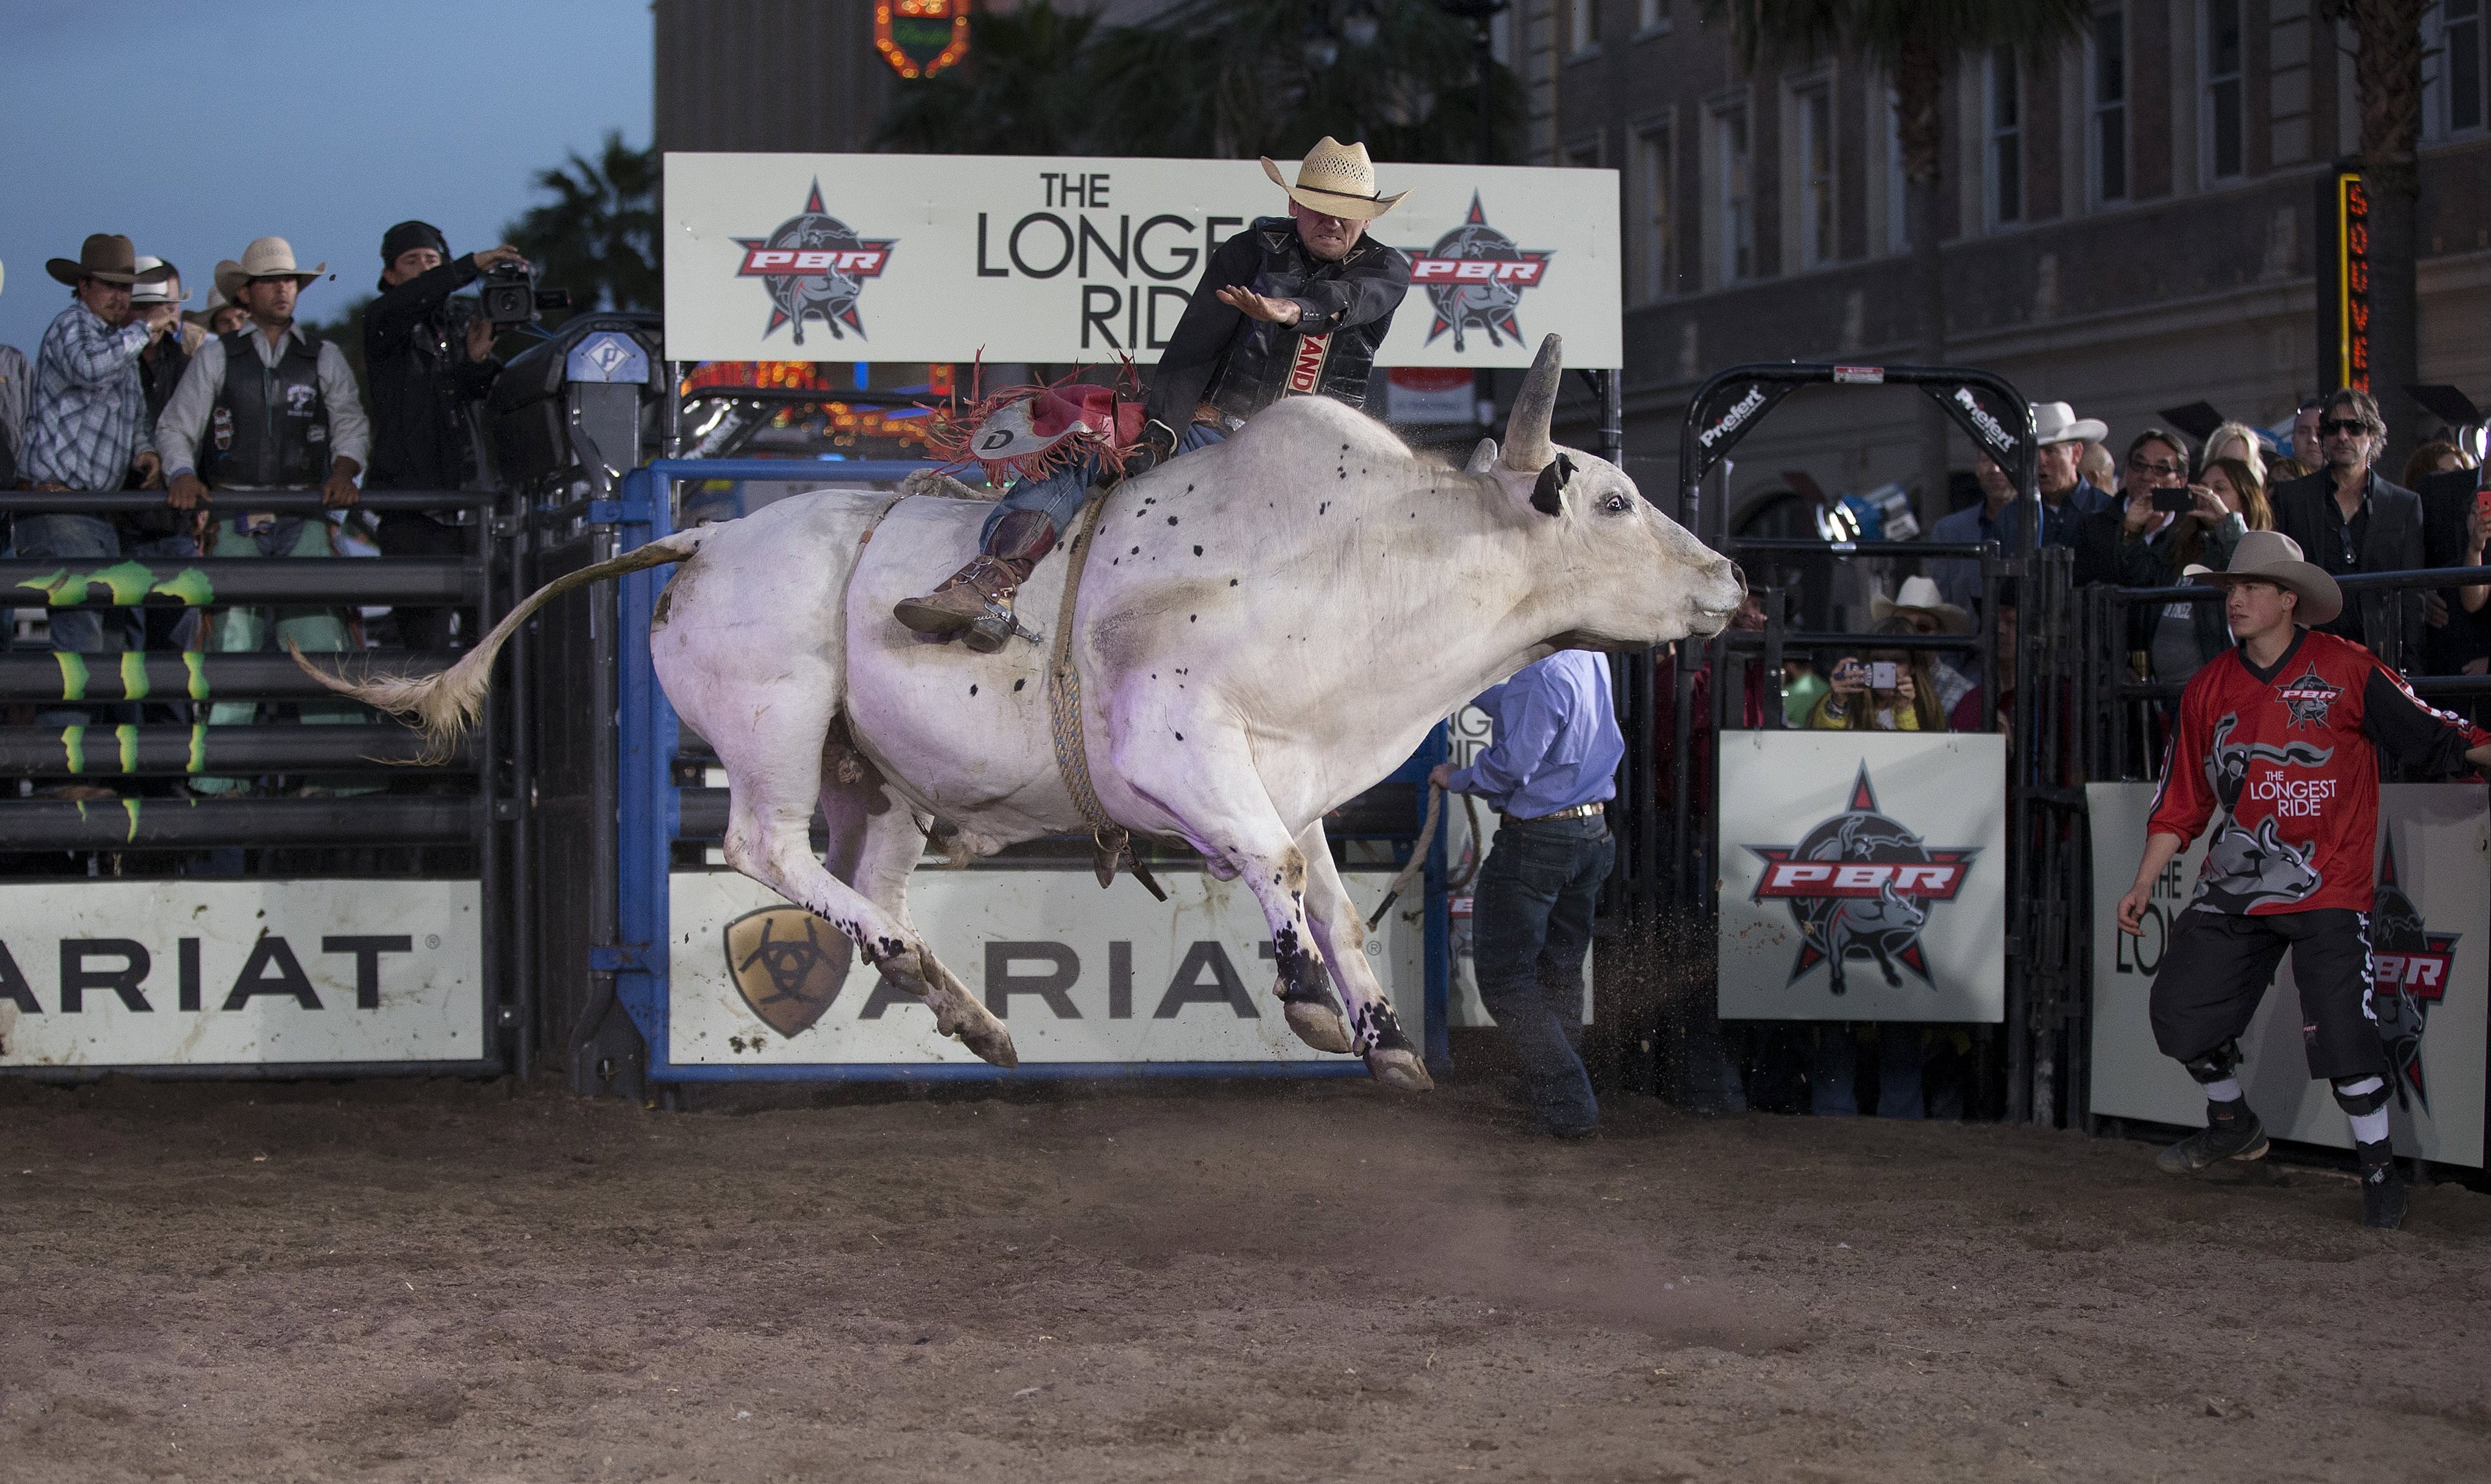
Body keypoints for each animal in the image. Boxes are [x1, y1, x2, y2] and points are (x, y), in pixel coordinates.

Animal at [300, 335, 1744, 1090]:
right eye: (1615, 498)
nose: (1733, 578)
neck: (1353, 569)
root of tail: (697, 541)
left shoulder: (1289, 777)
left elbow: (1329, 896)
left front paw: (1384, 1034)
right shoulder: (1178, 755)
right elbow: (1271, 871)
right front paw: (1308, 1002)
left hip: (871, 777)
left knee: (858, 873)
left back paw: (952, 997)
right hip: (771, 720)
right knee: (761, 845)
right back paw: (932, 978)